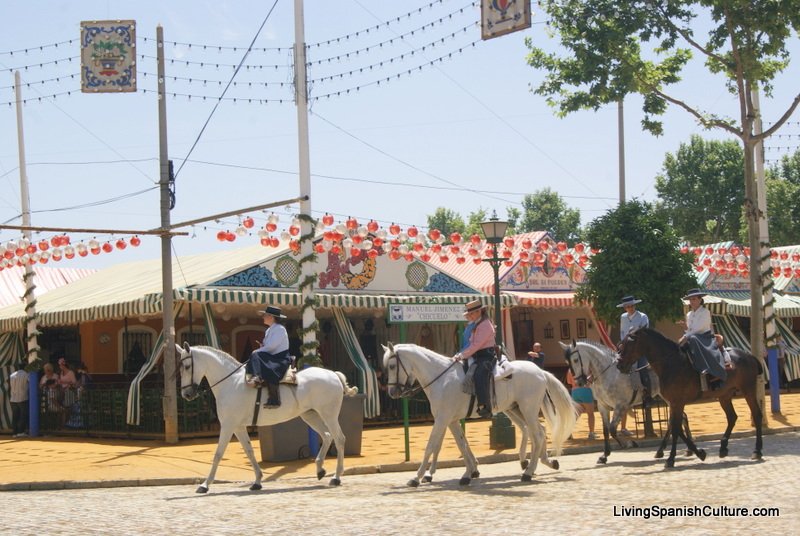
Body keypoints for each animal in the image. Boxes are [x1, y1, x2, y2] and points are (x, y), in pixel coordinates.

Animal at [180, 344, 360, 494]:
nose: (186, 394)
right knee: (327, 436)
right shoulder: (238, 427)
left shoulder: (228, 426)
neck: (231, 383)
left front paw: (204, 485)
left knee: (339, 438)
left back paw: (336, 477)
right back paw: (320, 470)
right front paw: (257, 481)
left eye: (187, 366)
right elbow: (249, 451)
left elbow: (218, 454)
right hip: (310, 415)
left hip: (329, 415)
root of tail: (333, 374)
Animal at [382, 344, 576, 486]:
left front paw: (417, 477)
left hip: (527, 409)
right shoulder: (451, 420)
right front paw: (469, 472)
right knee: (538, 431)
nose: (392, 392)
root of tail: (540, 371)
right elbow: (462, 444)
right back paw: (543, 463)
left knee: (537, 434)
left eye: (392, 366)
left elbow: (431, 446)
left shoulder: (442, 419)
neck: (442, 379)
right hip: (517, 409)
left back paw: (528, 472)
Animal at [620, 324, 764, 466]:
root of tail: (748, 355)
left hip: (748, 390)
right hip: (724, 396)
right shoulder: (673, 403)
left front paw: (671, 458)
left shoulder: (678, 402)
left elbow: (676, 428)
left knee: (757, 415)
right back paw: (723, 448)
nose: (619, 365)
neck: (671, 363)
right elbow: (676, 427)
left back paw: (757, 451)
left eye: (630, 343)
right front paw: (699, 453)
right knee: (732, 417)